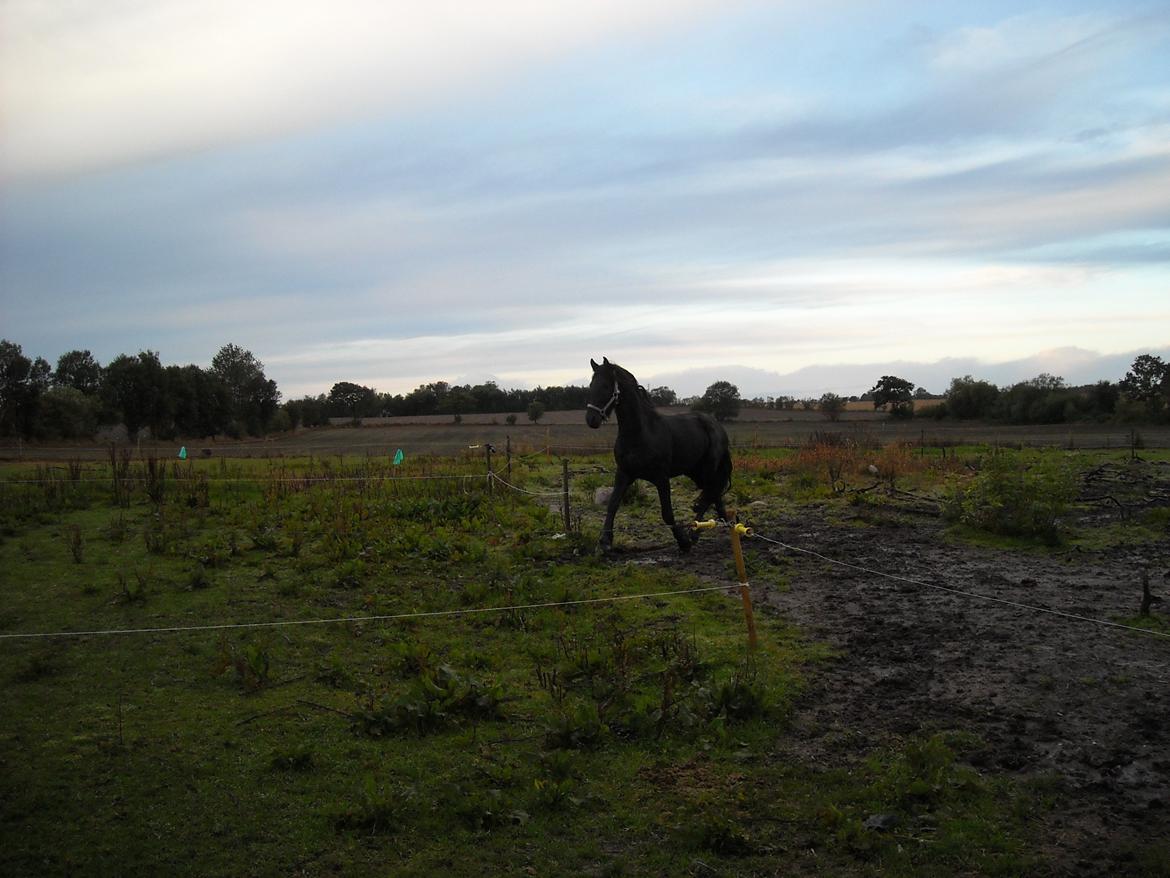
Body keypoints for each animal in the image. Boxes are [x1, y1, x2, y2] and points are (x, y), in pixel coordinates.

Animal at [585, 355, 730, 550]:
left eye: (606, 386)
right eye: (591, 385)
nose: (591, 419)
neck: (640, 433)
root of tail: (717, 426)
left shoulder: (661, 478)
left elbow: (667, 513)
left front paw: (683, 541)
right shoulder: (624, 474)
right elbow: (613, 504)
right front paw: (605, 541)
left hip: (707, 470)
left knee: (709, 496)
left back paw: (694, 534)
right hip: (695, 472)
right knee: (714, 495)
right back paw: (726, 524)